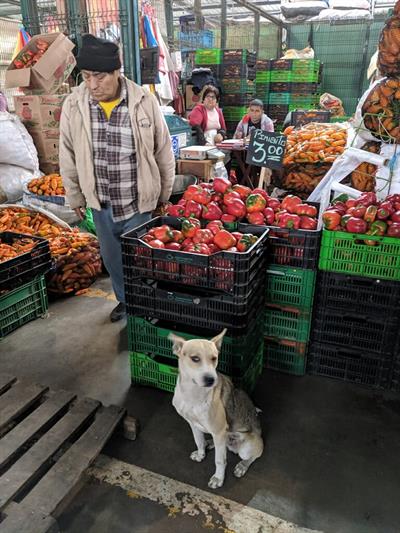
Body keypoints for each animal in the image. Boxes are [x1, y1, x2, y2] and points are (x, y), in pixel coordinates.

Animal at [168, 330, 264, 488]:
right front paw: (201, 454)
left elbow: (219, 460)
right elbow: (199, 441)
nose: (211, 379)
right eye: (195, 359)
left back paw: (242, 466)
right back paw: (210, 443)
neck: (193, 393)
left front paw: (218, 478)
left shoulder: (218, 431)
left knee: (253, 455)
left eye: (214, 358)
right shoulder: (193, 424)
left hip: (246, 446)